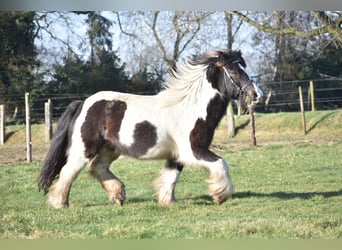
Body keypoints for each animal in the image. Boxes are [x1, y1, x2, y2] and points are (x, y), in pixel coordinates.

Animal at [37, 49, 264, 208]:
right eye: (234, 70)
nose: (257, 94)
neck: (190, 108)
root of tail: (83, 103)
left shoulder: (177, 155)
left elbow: (171, 176)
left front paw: (168, 201)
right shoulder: (193, 151)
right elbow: (221, 163)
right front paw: (221, 195)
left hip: (110, 149)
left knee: (98, 167)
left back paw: (118, 195)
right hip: (84, 149)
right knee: (69, 171)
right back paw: (60, 203)